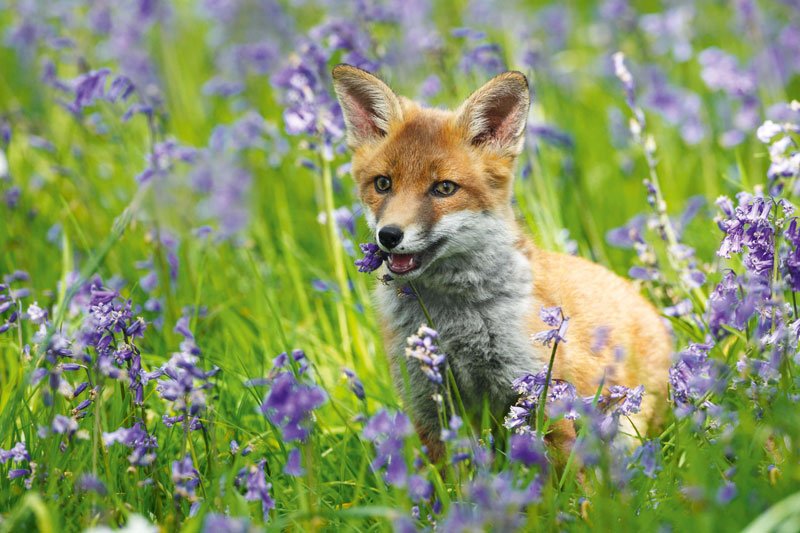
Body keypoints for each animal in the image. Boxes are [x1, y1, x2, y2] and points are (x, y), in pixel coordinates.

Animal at [331, 64, 673, 462]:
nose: (388, 236)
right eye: (383, 184)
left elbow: (568, 476)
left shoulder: (540, 391)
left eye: (444, 188)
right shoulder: (429, 405)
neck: (453, 321)